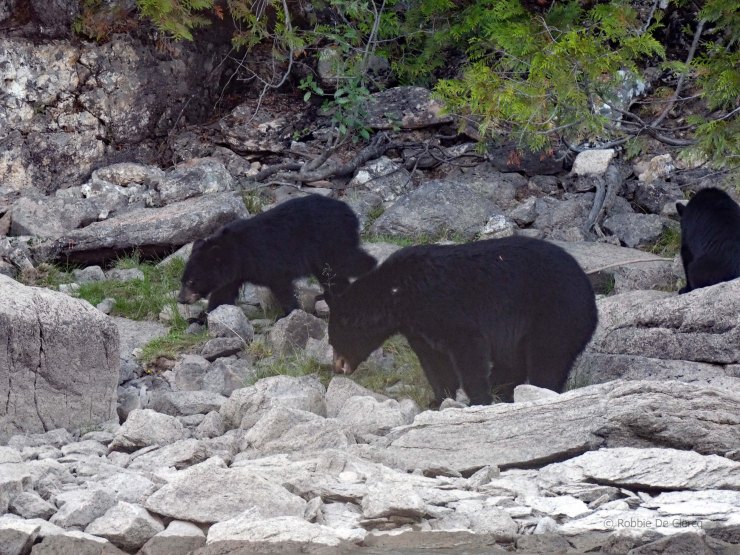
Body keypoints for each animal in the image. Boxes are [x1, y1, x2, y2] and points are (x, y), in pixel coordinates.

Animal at [178, 194, 377, 316]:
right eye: (183, 280)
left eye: (191, 281)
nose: (180, 299)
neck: (237, 253)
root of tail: (349, 211)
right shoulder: (234, 274)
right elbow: (222, 295)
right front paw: (205, 317)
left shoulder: (266, 260)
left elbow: (282, 287)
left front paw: (290, 313)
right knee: (333, 277)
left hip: (331, 241)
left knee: (350, 262)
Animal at [327, 236, 598, 406]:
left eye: (332, 339)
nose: (337, 367)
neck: (397, 295)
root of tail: (589, 291)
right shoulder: (418, 327)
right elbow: (435, 363)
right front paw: (438, 399)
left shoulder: (443, 306)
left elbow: (468, 348)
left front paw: (477, 399)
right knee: (514, 363)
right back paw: (501, 390)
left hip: (555, 313)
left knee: (547, 358)